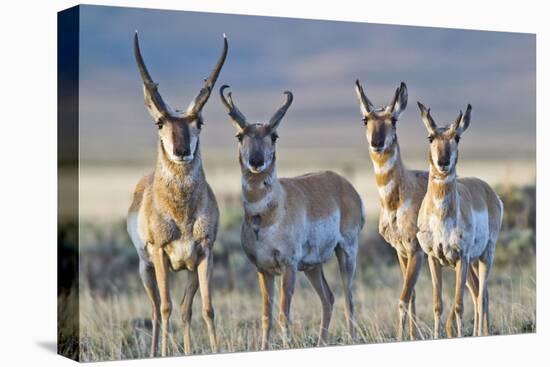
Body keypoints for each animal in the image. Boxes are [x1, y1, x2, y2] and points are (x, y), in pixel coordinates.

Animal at [126, 33, 227, 358]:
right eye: (160, 122)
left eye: (200, 122)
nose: (182, 151)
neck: (181, 215)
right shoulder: (159, 254)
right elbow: (166, 308)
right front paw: (164, 354)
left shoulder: (204, 254)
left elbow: (206, 308)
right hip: (146, 269)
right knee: (157, 310)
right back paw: (155, 352)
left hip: (187, 270)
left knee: (185, 310)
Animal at [220, 85, 366, 350]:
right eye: (239, 136)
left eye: (274, 136)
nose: (257, 161)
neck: (267, 216)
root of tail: (345, 185)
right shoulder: (263, 269)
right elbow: (266, 315)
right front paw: (263, 348)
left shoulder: (288, 266)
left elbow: (282, 313)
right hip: (312, 266)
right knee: (329, 298)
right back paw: (321, 343)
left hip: (346, 252)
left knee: (348, 299)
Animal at [356, 80, 430, 342]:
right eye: (365, 119)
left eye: (394, 119)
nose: (377, 142)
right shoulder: (401, 252)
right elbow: (413, 296)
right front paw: (413, 336)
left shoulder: (416, 252)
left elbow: (403, 299)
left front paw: (401, 337)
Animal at [418, 102, 504, 338]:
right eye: (430, 137)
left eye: (457, 137)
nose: (443, 162)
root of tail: (489, 191)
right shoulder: (434, 259)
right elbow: (438, 305)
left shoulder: (461, 258)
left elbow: (458, 305)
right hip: (472, 263)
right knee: (478, 294)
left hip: (484, 256)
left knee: (482, 296)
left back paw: (480, 334)